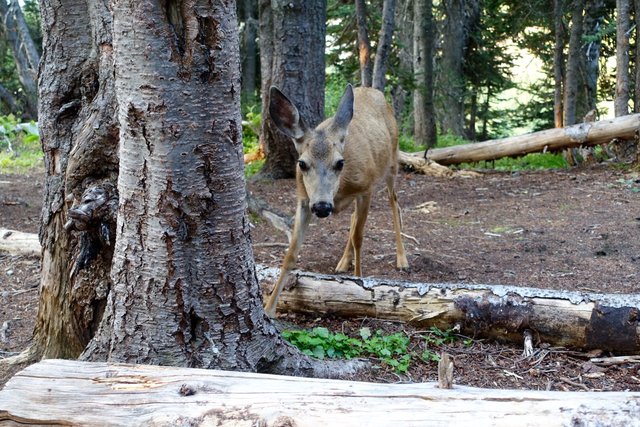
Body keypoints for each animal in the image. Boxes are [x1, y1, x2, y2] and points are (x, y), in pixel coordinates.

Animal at [262, 84, 408, 318]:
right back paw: (343, 262)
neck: (339, 190)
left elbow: (359, 238)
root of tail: (372, 89)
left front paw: (360, 284)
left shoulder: (365, 190)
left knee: (394, 202)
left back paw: (402, 260)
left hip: (392, 163)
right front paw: (268, 309)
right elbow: (291, 253)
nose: (322, 206)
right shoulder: (304, 200)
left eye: (340, 163)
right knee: (355, 217)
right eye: (302, 163)